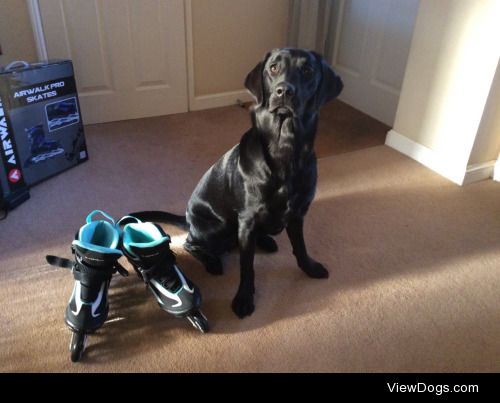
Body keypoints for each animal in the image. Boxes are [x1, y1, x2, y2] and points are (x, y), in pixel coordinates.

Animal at [133, 48, 342, 318]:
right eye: (273, 68)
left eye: (307, 70)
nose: (284, 91)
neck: (285, 147)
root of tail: (187, 218)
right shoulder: (248, 220)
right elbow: (247, 265)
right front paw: (244, 298)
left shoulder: (297, 214)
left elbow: (300, 246)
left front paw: (310, 267)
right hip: (218, 227)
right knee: (191, 244)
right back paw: (212, 261)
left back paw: (266, 241)